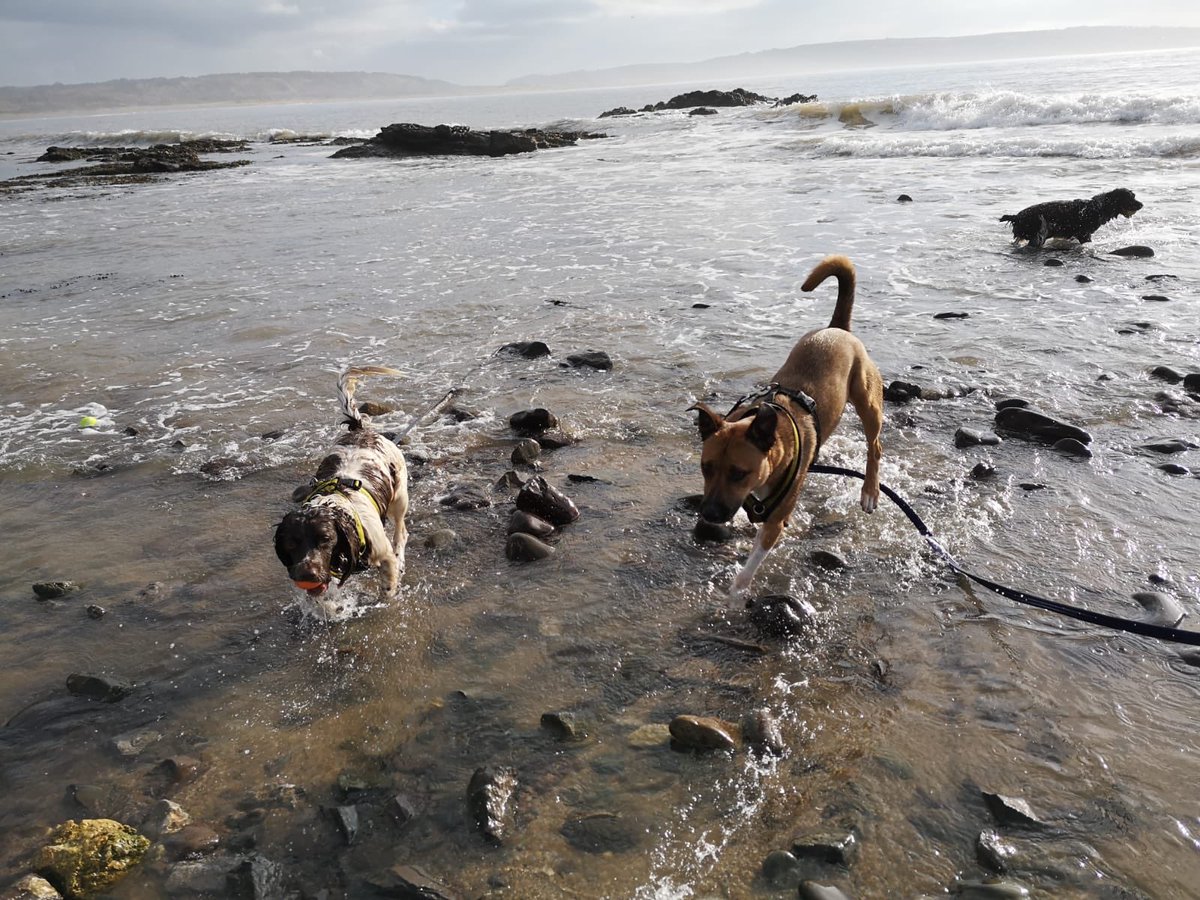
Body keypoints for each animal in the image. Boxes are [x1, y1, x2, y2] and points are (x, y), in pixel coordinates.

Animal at [696, 256, 883, 602]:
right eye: (706, 467)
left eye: (739, 473)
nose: (711, 514)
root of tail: (838, 328)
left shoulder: (774, 520)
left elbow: (755, 557)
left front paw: (736, 590)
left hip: (868, 401)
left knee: (874, 446)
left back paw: (869, 492)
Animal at [1003, 188, 1142, 248]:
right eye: (1130, 198)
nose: (1142, 204)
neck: (1098, 207)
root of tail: (1017, 216)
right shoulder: (1084, 235)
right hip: (1038, 236)